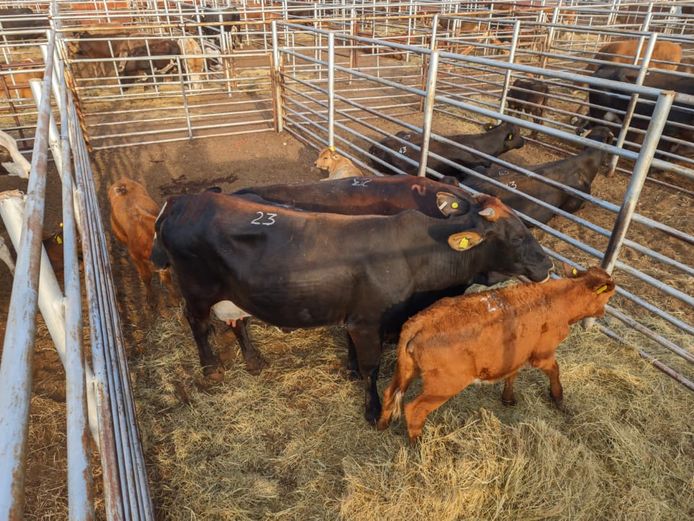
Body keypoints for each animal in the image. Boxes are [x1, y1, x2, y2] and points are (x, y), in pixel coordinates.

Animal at [150, 183, 553, 423]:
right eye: (517, 236)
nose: (548, 265)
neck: (417, 253)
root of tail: (183, 200)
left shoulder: (359, 317)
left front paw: (351, 370)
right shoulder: (367, 320)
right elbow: (373, 365)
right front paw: (373, 408)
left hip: (237, 292)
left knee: (238, 321)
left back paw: (253, 360)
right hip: (197, 290)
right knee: (198, 323)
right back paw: (211, 368)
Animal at [377, 265, 616, 442]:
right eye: (609, 296)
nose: (603, 312)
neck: (558, 297)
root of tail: (420, 320)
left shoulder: (516, 352)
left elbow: (512, 374)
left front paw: (508, 398)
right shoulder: (542, 354)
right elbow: (555, 371)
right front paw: (558, 398)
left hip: (406, 369)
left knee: (389, 393)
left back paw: (381, 425)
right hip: (443, 385)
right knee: (414, 409)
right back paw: (417, 444)